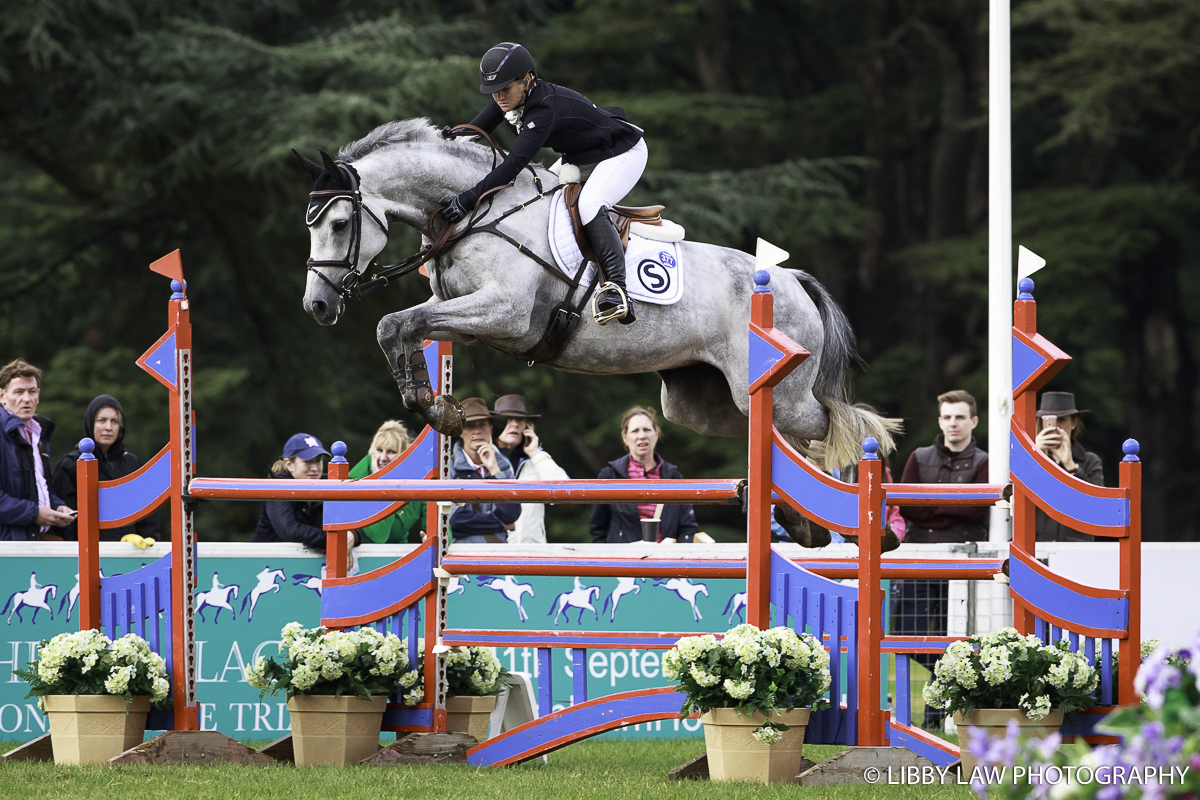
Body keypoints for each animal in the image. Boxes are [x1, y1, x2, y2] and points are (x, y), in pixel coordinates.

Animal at [296, 117, 897, 470]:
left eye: (341, 224)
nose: (317, 307)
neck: (472, 211)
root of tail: (793, 282)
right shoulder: (458, 316)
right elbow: (396, 326)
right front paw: (431, 404)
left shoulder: (506, 316)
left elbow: (405, 323)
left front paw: (432, 405)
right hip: (702, 401)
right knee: (768, 433)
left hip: (785, 396)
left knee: (839, 426)